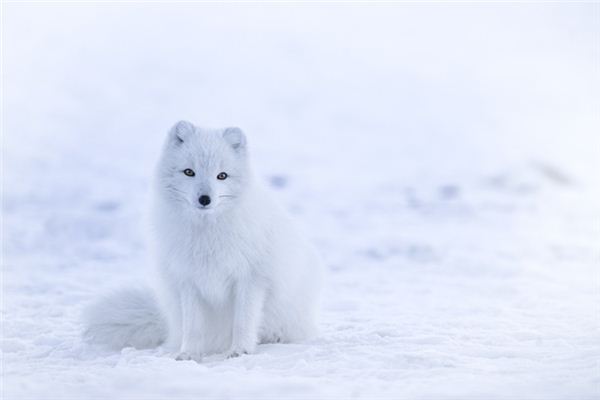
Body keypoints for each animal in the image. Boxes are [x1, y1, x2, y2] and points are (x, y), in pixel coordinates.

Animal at [84, 120, 324, 360]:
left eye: (222, 176)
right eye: (189, 172)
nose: (205, 199)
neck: (207, 234)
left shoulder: (251, 278)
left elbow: (243, 321)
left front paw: (240, 350)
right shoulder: (188, 280)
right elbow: (193, 327)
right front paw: (188, 354)